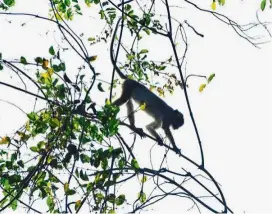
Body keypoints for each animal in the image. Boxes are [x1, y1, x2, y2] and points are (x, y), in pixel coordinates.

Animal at [109, 18, 184, 152]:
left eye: (179, 126)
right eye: (178, 122)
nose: (176, 128)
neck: (172, 112)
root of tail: (132, 80)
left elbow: (151, 126)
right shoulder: (168, 118)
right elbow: (163, 128)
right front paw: (175, 147)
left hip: (128, 88)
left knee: (129, 103)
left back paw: (134, 127)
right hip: (129, 86)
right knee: (124, 100)